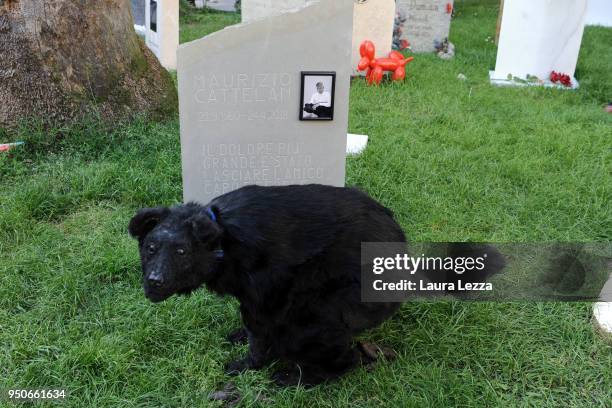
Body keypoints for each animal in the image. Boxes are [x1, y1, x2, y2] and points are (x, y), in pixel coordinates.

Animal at [128, 185, 502, 386]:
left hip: (316, 315)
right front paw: (237, 336)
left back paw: (297, 380)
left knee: (347, 359)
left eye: (181, 251)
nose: (154, 281)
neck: (223, 237)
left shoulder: (265, 299)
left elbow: (258, 337)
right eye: (150, 248)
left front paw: (246, 366)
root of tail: (405, 260)